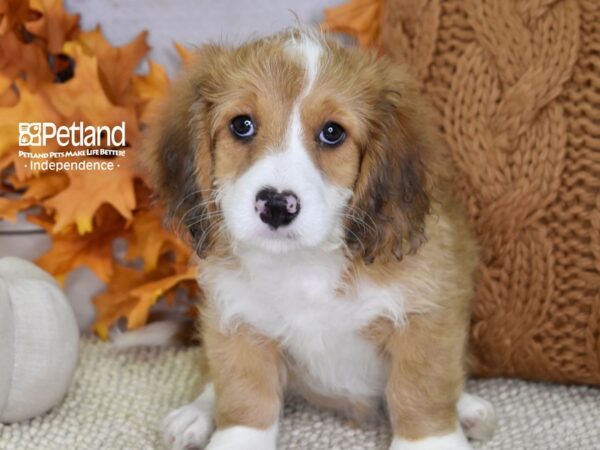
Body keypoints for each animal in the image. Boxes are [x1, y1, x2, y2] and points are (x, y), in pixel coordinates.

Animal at [146, 29, 496, 450]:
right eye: (241, 125)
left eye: (332, 133)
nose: (276, 206)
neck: (305, 264)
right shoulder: (238, 318)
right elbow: (244, 399)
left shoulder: (426, 315)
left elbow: (420, 392)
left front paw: (431, 442)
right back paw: (196, 414)